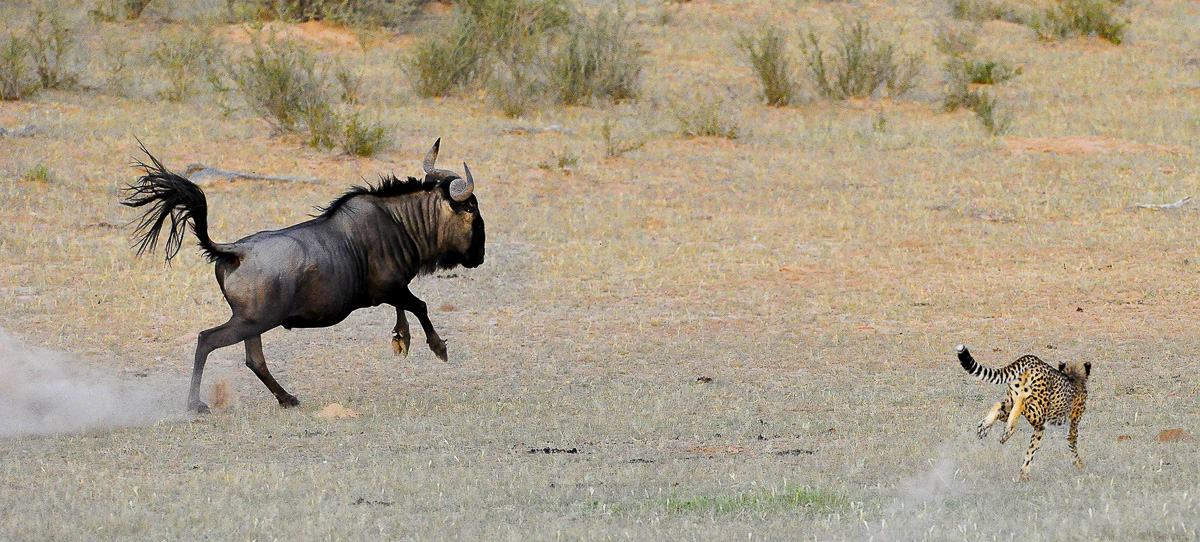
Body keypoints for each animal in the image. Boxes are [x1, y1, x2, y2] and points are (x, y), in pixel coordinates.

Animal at [955, 344, 1091, 482]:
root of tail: (1033, 359)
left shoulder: (1040, 427)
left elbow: (1032, 448)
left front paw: (1024, 472)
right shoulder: (1069, 422)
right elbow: (1071, 441)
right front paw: (1079, 464)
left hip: (1011, 404)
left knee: (1000, 405)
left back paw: (986, 426)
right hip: (1039, 412)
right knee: (1022, 401)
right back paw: (1009, 430)